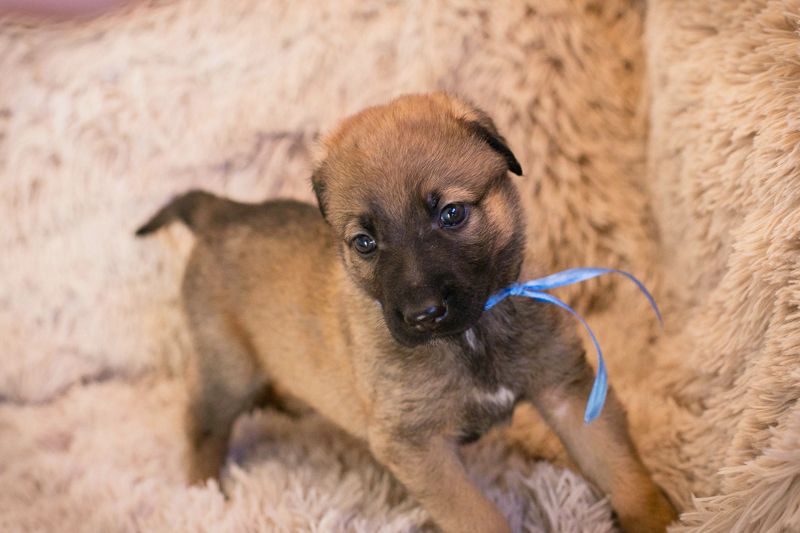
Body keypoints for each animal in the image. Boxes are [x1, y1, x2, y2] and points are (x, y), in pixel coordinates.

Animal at [136, 93, 677, 532]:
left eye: (452, 214)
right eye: (365, 243)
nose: (422, 315)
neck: (471, 337)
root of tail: (223, 210)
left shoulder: (566, 390)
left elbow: (623, 472)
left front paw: (662, 520)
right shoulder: (416, 446)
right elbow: (478, 516)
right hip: (226, 369)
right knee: (202, 428)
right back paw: (206, 494)